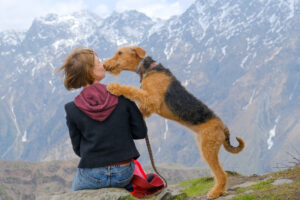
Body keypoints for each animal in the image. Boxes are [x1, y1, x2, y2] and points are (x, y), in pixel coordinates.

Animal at [103, 45, 244, 198]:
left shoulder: (153, 99)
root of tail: (223, 127)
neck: (147, 68)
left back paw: (215, 192)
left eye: (120, 53)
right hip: (205, 146)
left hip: (208, 148)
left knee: (221, 173)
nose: (104, 65)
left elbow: (133, 90)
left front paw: (115, 87)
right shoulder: (149, 105)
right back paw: (219, 190)